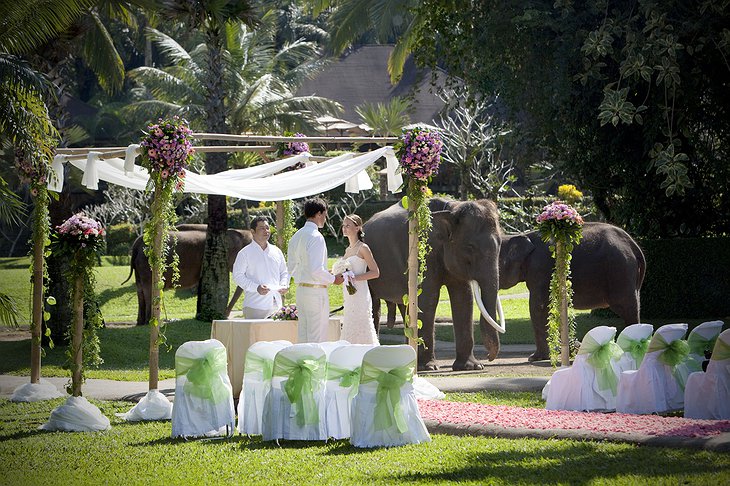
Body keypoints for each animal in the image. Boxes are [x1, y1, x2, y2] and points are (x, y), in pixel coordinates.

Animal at [121, 228, 250, 326]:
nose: (226, 315)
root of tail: (136, 244)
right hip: (148, 264)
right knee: (150, 289)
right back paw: (150, 322)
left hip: (140, 267)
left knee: (140, 290)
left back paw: (141, 323)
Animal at [362, 197, 504, 372]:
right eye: (470, 247)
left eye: (500, 243)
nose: (489, 357)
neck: (452, 208)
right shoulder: (422, 253)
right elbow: (428, 299)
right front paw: (429, 367)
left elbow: (464, 299)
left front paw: (472, 367)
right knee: (373, 306)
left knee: (405, 307)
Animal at [500, 223, 644, 360]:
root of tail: (633, 244)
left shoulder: (539, 269)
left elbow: (538, 307)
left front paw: (534, 358)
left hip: (620, 270)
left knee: (627, 308)